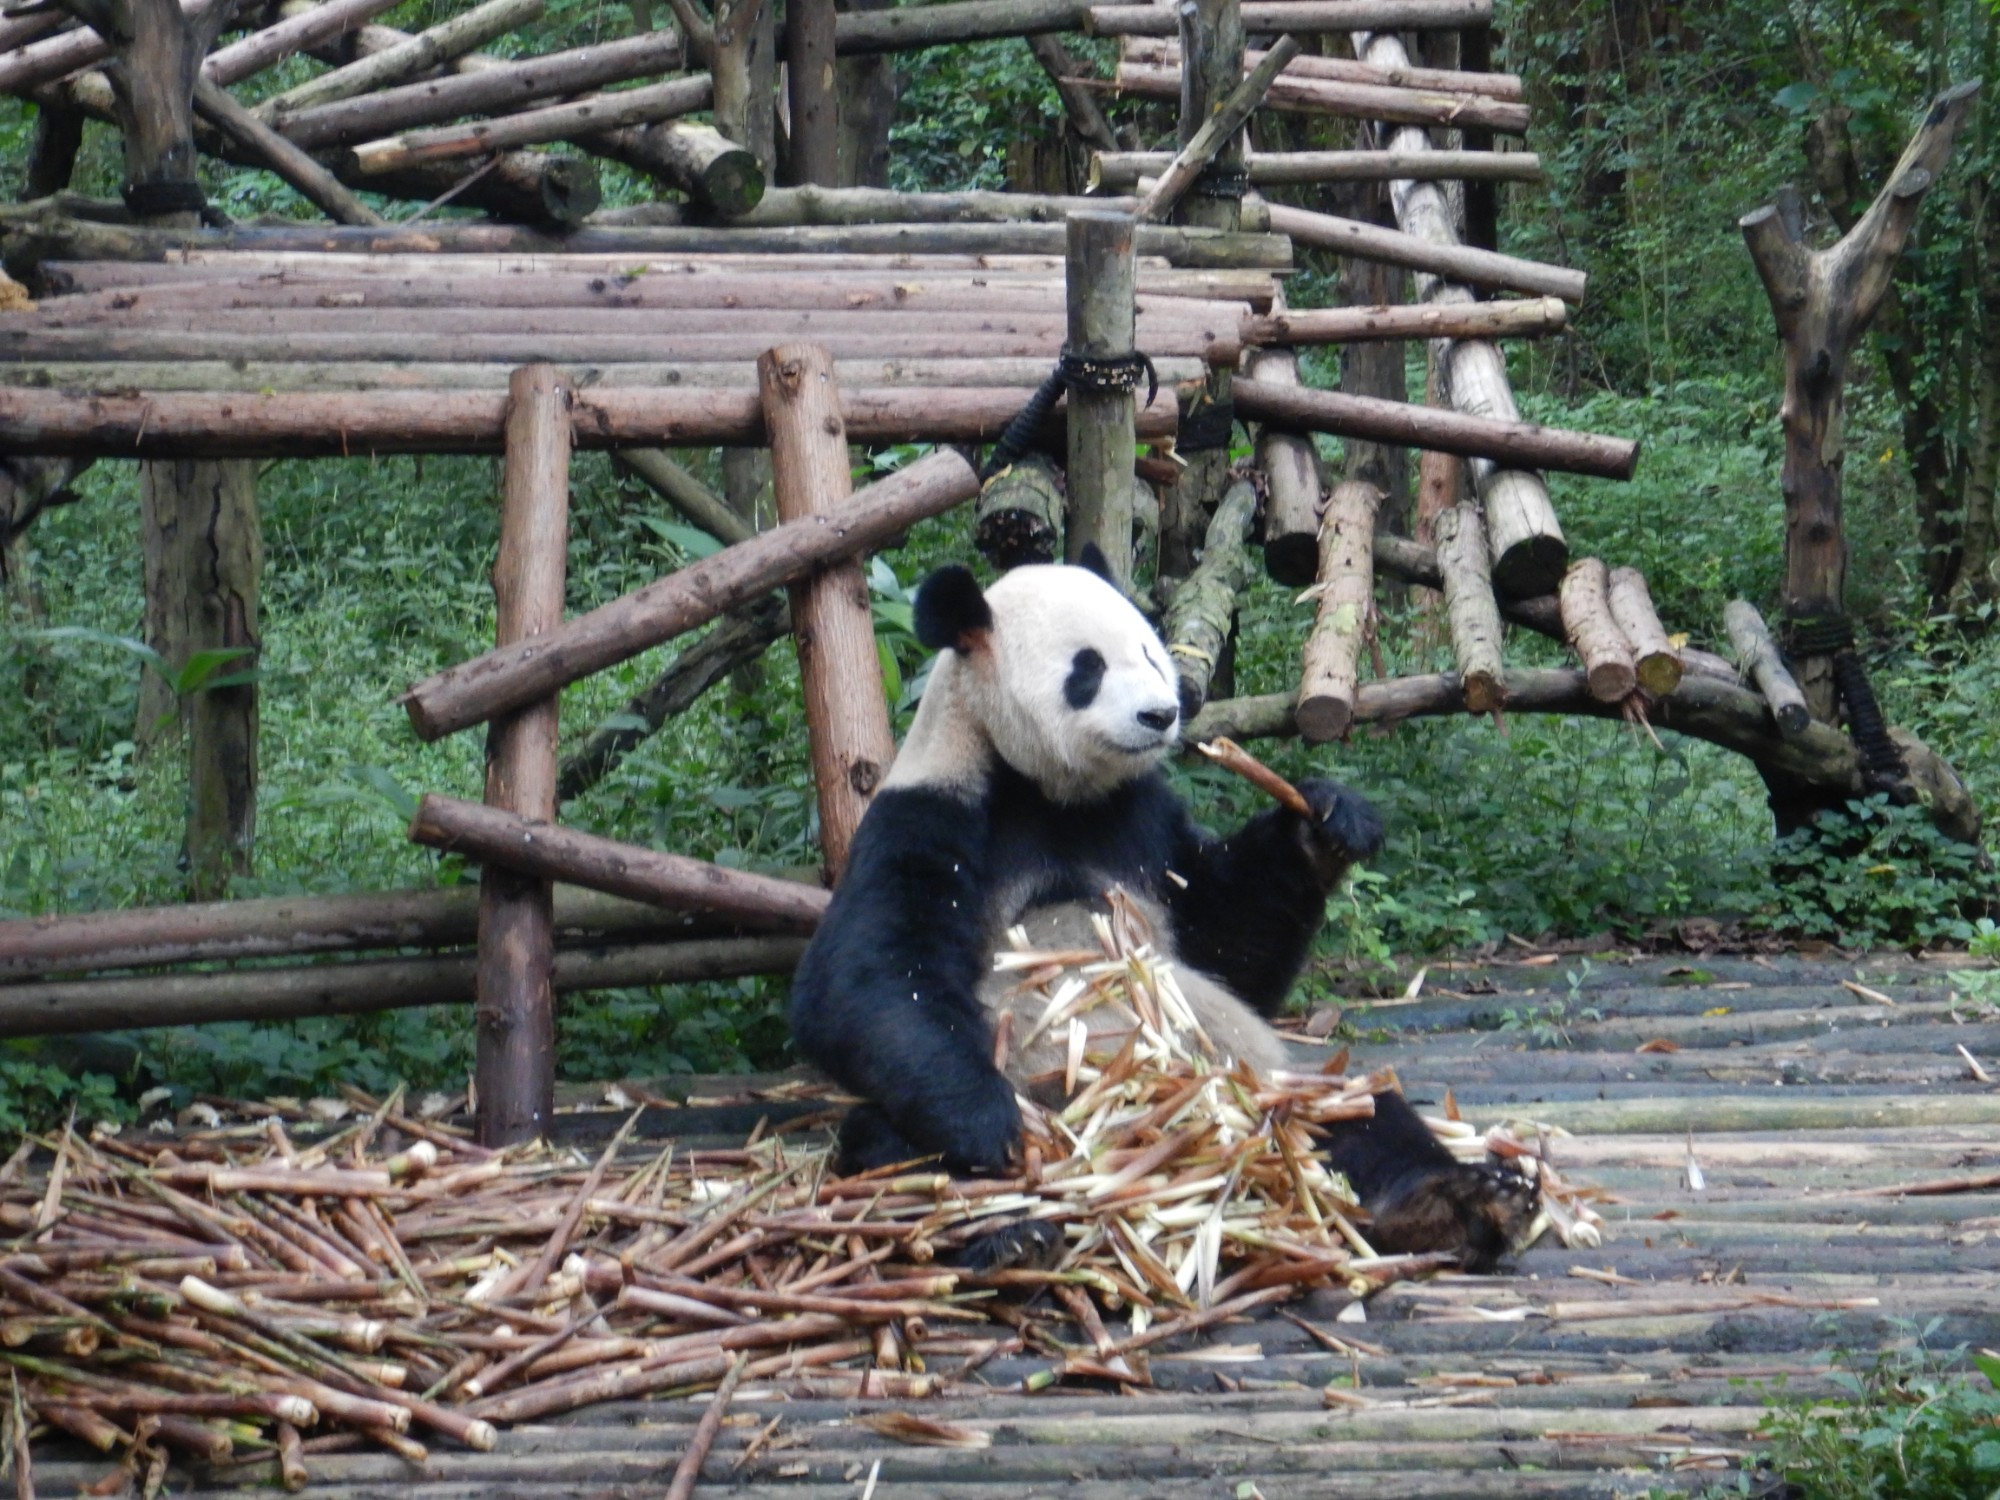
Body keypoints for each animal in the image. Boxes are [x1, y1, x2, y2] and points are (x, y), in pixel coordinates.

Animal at [788, 552, 1536, 1272]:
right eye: (1087, 669)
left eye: (1151, 652)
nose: (1160, 715)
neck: (1047, 787)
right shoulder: (934, 810)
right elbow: (869, 978)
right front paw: (986, 1123)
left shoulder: (1141, 817)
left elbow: (1227, 943)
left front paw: (1325, 825)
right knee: (898, 1151)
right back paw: (1010, 1233)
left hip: (1262, 1082)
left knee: (1356, 1108)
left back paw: (1453, 1203)